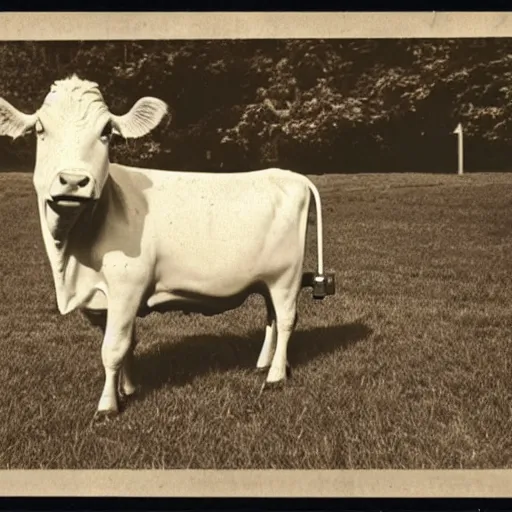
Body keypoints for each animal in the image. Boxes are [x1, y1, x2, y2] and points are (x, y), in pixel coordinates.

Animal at [0, 75, 334, 420]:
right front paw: (127, 389)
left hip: (286, 277)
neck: (72, 261)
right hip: (268, 279)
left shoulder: (126, 288)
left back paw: (276, 375)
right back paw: (264, 364)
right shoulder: (104, 298)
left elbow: (113, 348)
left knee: (286, 319)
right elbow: (128, 343)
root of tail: (290, 175)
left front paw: (107, 406)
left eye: (106, 131)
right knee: (271, 318)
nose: (72, 180)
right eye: (40, 128)